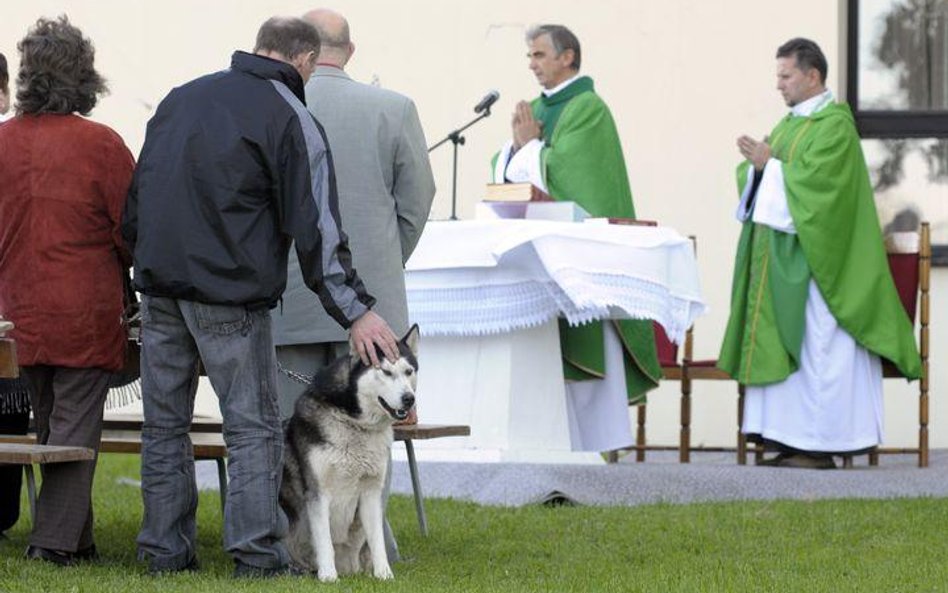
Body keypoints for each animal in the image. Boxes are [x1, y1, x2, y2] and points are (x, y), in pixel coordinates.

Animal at [278, 322, 418, 580]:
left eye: (409, 371)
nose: (409, 399)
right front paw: (328, 576)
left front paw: (384, 575)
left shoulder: (371, 492)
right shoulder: (318, 493)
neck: (355, 424)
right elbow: (324, 541)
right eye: (385, 372)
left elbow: (377, 540)